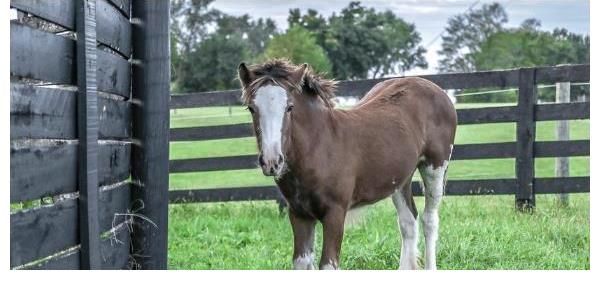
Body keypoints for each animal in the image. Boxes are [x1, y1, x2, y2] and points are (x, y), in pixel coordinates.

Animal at [237, 59, 458, 270]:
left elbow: (328, 264)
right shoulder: (299, 214)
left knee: (429, 220)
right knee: (408, 221)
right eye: (252, 108)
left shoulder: (335, 213)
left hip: (435, 167)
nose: (272, 161)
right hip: (400, 178)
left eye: (289, 107)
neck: (319, 148)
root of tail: (436, 90)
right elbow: (301, 262)